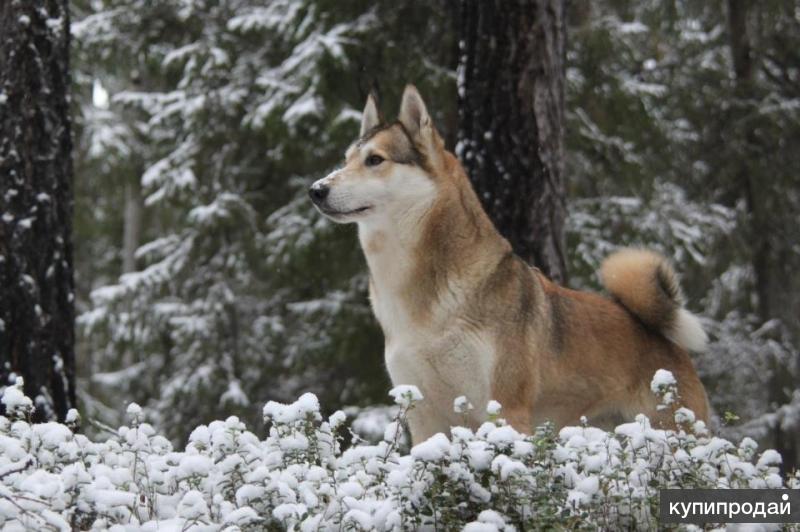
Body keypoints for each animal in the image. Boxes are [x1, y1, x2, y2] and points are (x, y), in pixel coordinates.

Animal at [310, 85, 708, 442]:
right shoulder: (422, 416)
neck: (421, 298)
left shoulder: (504, 408)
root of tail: (661, 333)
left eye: (375, 160)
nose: (316, 190)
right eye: (346, 160)